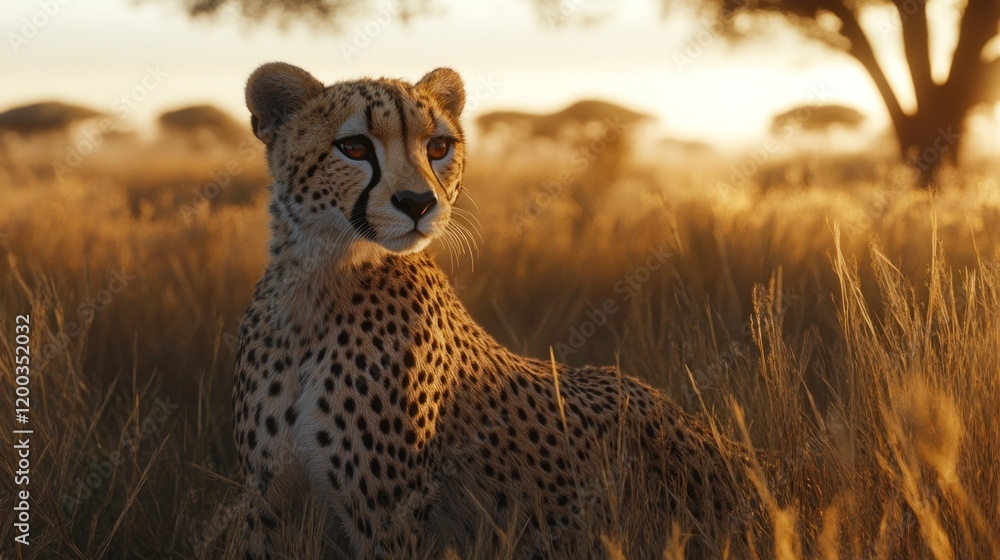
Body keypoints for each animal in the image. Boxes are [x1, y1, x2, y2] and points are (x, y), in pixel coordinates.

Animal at [232, 62, 752, 560]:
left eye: (438, 146)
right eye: (355, 147)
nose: (418, 203)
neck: (318, 283)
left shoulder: (389, 522)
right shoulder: (268, 511)